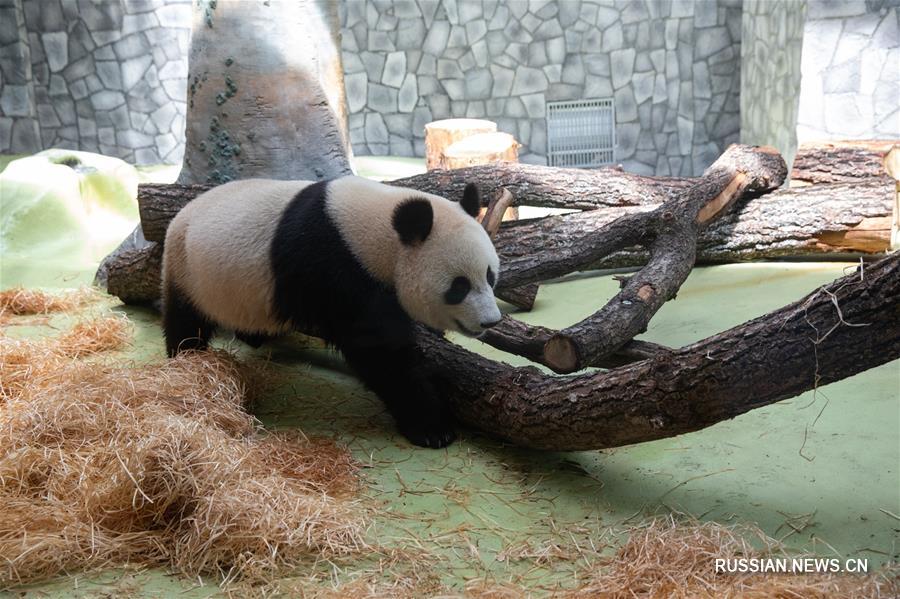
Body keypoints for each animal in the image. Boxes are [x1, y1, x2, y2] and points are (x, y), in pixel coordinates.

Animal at [160, 176, 500, 448]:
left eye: (490, 275)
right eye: (459, 286)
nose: (490, 321)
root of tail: (181, 214)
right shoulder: (334, 268)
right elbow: (379, 351)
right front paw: (431, 426)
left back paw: (252, 336)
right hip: (189, 270)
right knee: (185, 321)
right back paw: (186, 358)